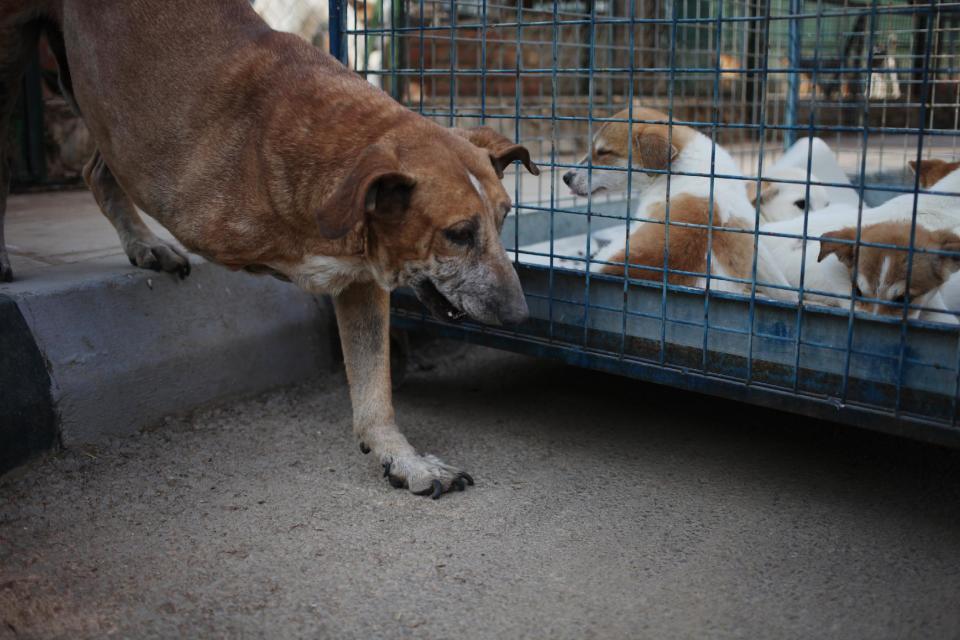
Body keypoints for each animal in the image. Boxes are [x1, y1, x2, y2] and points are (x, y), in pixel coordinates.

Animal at [0, 0, 540, 498]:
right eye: (458, 234)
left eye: (505, 218)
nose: (520, 317)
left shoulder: (362, 280)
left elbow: (375, 387)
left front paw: (401, 457)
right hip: (19, 55)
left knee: (96, 167)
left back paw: (143, 242)